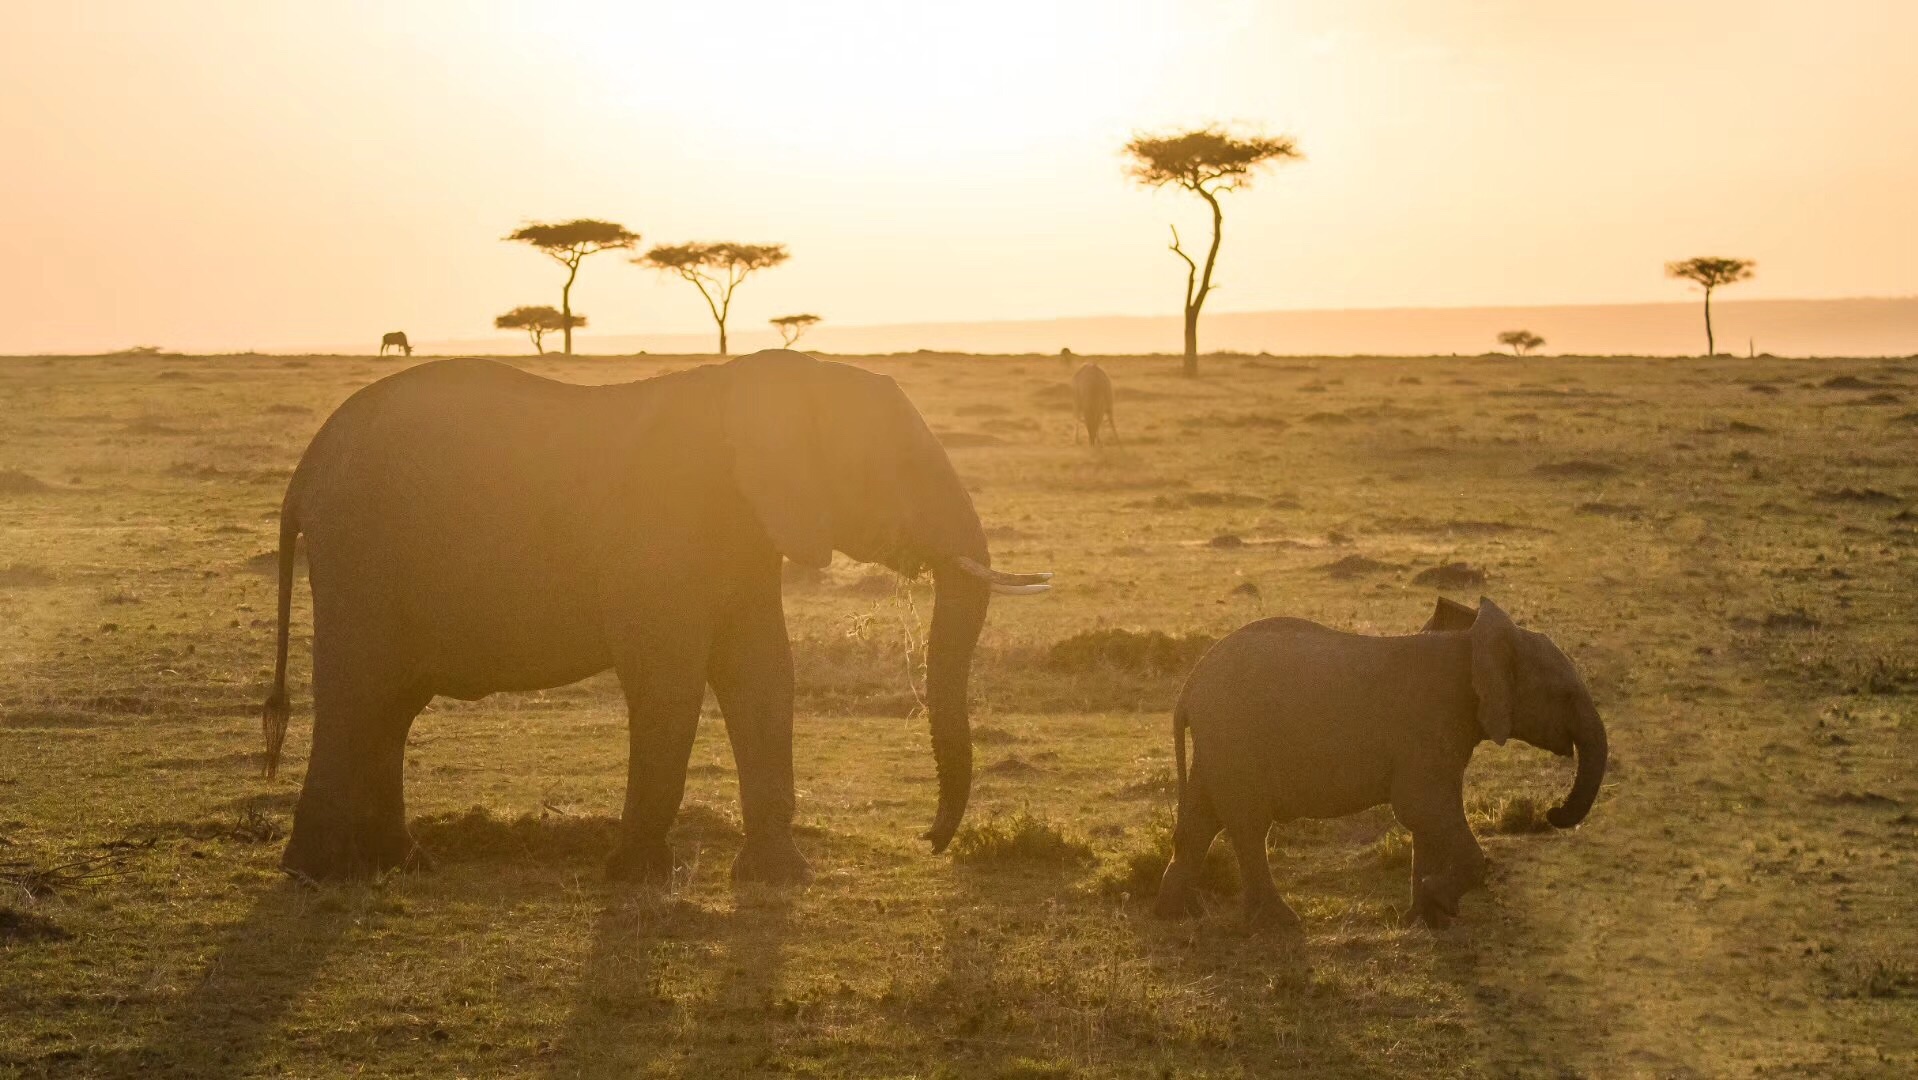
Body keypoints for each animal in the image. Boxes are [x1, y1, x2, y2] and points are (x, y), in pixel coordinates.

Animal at [258, 351, 1051, 882]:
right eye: (904, 470)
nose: (930, 842)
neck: (777, 384)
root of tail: (304, 473)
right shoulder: (663, 532)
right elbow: (667, 678)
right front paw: (635, 876)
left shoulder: (746, 537)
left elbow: (764, 673)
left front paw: (779, 878)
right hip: (361, 556)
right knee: (358, 696)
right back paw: (316, 873)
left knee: (389, 707)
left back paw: (401, 863)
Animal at [1150, 598, 1603, 928]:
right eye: (1564, 694)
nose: (1553, 811)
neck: (1473, 643)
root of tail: (1189, 686)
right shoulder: (1429, 725)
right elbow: (1422, 807)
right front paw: (1438, 905)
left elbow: (1425, 818)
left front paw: (1426, 918)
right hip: (1235, 738)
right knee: (1247, 826)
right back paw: (1281, 925)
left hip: (1219, 743)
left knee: (1202, 819)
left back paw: (1178, 917)